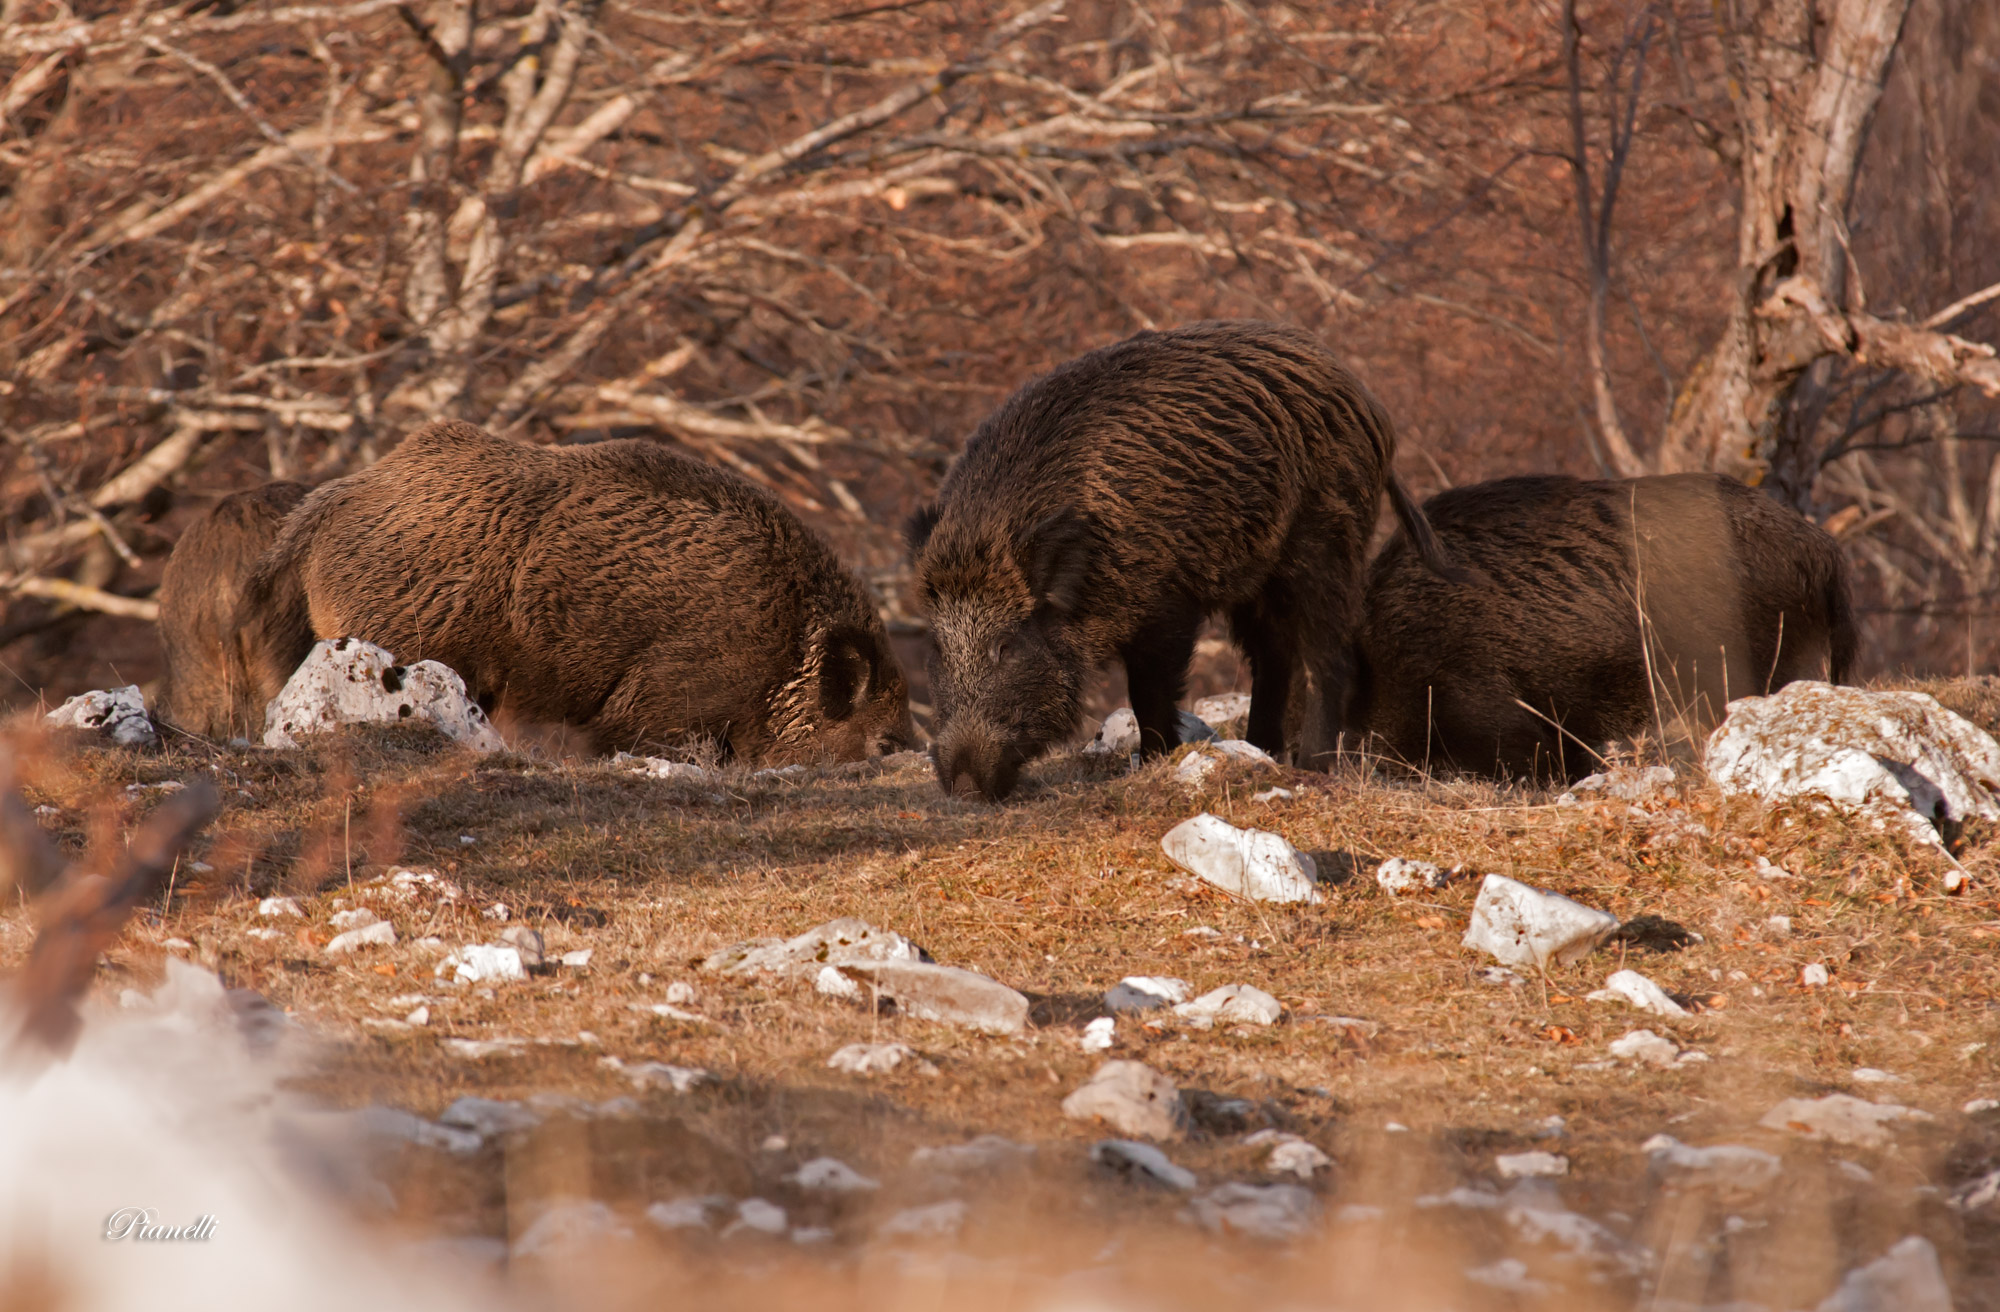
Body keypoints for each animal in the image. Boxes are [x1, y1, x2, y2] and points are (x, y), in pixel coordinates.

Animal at [908, 319, 1452, 800]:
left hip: (1327, 541)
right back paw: (1258, 751)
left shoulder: (1165, 603)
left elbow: (1150, 693)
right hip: (1259, 573)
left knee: (1328, 655)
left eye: (1005, 646)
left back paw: (1312, 766)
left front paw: (1154, 763)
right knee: (1273, 655)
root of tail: (1366, 399)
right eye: (935, 646)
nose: (963, 786)